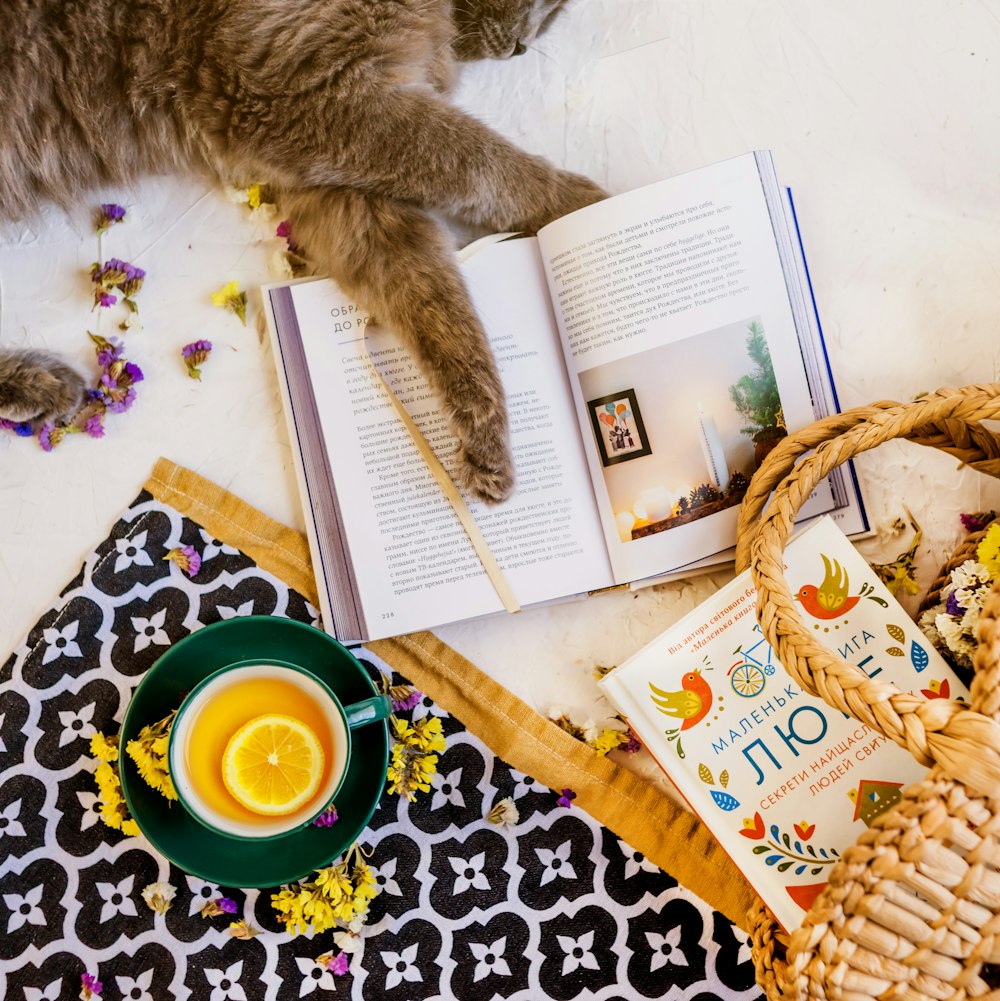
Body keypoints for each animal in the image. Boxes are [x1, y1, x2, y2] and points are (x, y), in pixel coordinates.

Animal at [0, 0, 604, 500]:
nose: (521, 47)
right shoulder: (311, 95)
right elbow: (484, 163)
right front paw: (580, 205)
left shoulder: (341, 184)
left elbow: (436, 303)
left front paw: (483, 433)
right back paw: (44, 384)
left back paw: (44, 386)